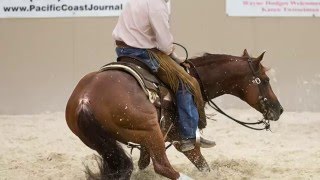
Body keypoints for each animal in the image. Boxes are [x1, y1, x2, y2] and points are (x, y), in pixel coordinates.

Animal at [65, 48, 282, 179]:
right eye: (265, 80)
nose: (278, 109)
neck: (195, 79)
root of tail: (85, 100)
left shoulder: (148, 145)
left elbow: (143, 164)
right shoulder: (183, 140)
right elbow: (202, 164)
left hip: (105, 143)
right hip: (151, 132)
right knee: (164, 167)